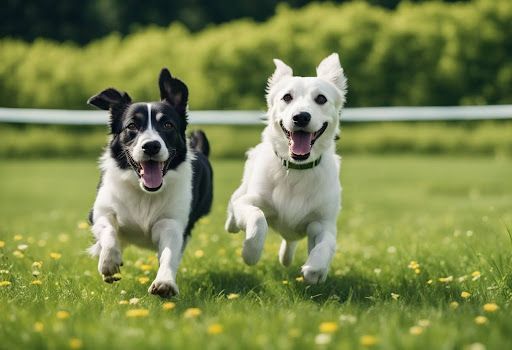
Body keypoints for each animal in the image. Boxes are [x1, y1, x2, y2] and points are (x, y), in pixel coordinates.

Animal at [87, 69, 211, 298]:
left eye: (168, 125)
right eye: (132, 126)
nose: (151, 146)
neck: (144, 192)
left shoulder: (172, 222)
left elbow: (169, 253)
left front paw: (165, 283)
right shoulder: (99, 212)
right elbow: (108, 230)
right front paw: (109, 262)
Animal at [226, 53, 346, 284]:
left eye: (321, 99)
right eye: (287, 97)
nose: (301, 116)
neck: (296, 169)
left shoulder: (323, 221)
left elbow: (328, 243)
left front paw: (315, 269)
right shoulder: (251, 201)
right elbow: (257, 218)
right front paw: (250, 253)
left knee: (291, 242)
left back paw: (287, 258)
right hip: (243, 188)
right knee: (234, 204)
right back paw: (233, 223)